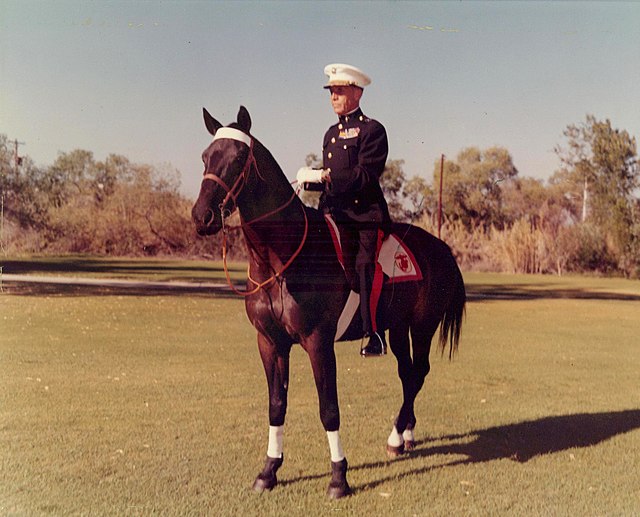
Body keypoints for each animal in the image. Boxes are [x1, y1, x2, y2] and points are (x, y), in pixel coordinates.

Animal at [190, 107, 464, 498]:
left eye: (239, 157)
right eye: (205, 157)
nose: (203, 217)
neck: (282, 256)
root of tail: (441, 248)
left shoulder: (318, 342)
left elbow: (329, 409)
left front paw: (338, 477)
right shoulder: (270, 342)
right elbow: (276, 406)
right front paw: (269, 470)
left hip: (423, 326)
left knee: (419, 373)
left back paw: (397, 436)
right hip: (398, 328)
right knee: (407, 372)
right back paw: (403, 435)